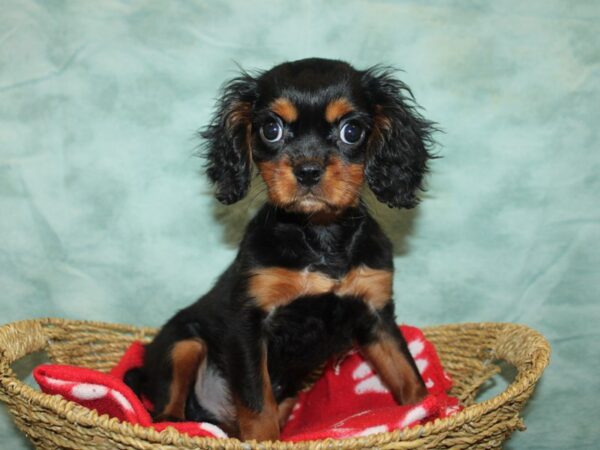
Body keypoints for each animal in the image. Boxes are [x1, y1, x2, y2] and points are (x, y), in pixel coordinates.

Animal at [125, 58, 436, 442]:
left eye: (351, 131)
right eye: (271, 129)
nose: (308, 171)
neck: (319, 234)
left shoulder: (376, 315)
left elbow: (409, 375)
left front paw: (432, 413)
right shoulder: (248, 325)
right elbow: (257, 403)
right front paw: (263, 439)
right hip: (183, 343)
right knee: (164, 410)